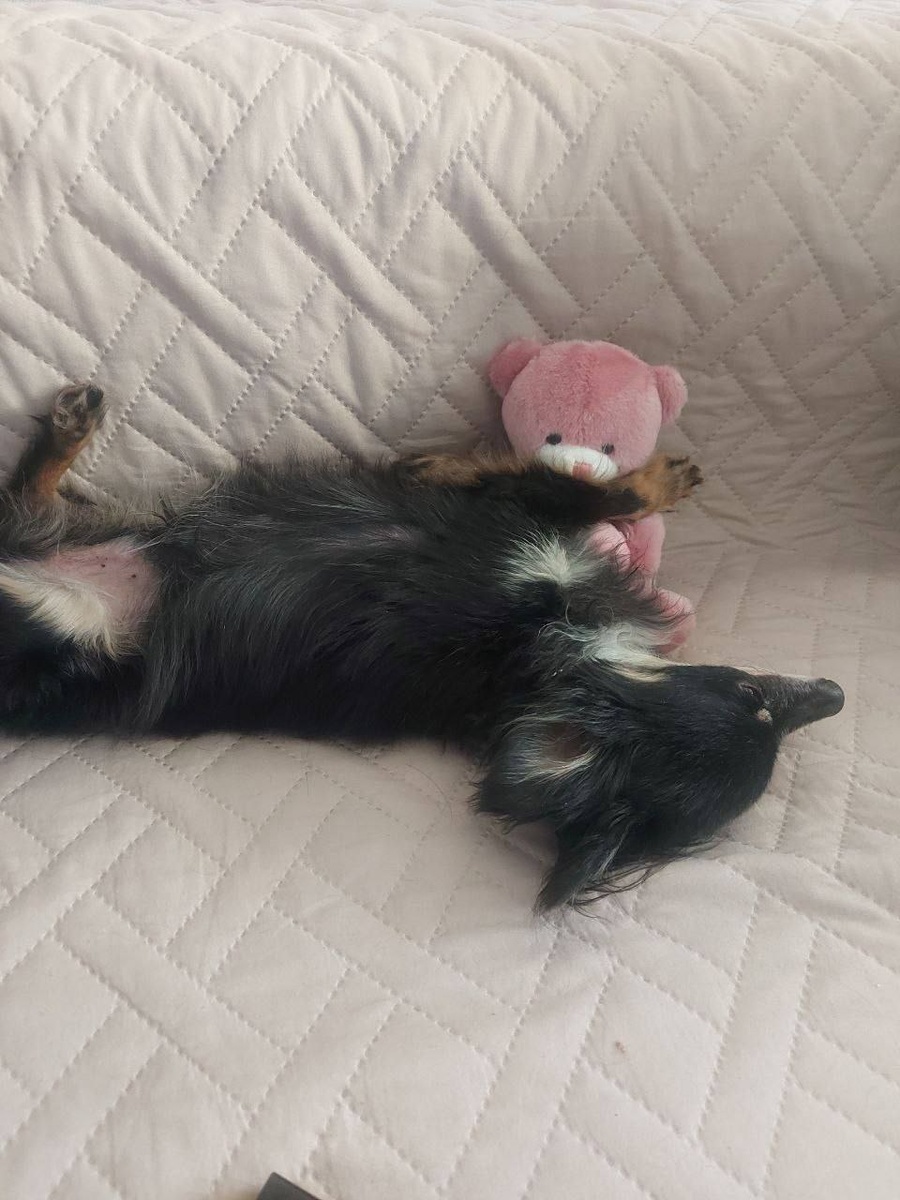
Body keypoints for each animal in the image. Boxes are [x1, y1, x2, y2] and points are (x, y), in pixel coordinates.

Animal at [0, 382, 844, 909]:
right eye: (751, 695)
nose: (835, 694)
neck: (535, 662)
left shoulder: (522, 518)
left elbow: (585, 486)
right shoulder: (524, 518)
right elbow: (585, 486)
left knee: (21, 506)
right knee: (23, 500)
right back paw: (72, 426)